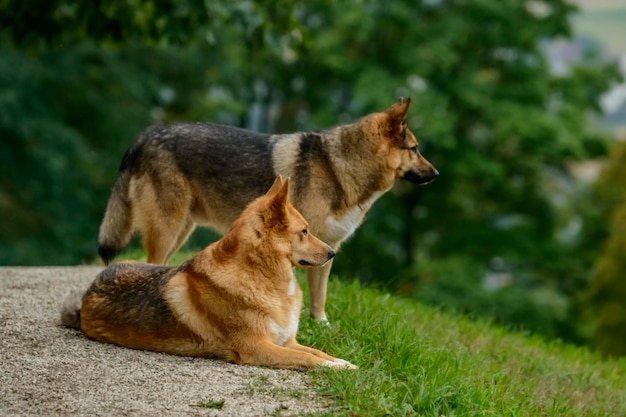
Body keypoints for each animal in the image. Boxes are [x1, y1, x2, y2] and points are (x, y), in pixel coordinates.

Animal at [64, 175, 358, 368]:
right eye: (304, 231)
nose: (332, 253)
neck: (259, 273)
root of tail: (86, 297)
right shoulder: (258, 349)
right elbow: (308, 358)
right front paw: (338, 368)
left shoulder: (286, 342)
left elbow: (318, 352)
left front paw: (343, 362)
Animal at [98, 97, 438, 322]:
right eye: (415, 149)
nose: (436, 174)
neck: (341, 168)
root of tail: (147, 134)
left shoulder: (326, 250)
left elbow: (319, 299)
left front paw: (320, 326)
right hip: (167, 229)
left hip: (181, 231)